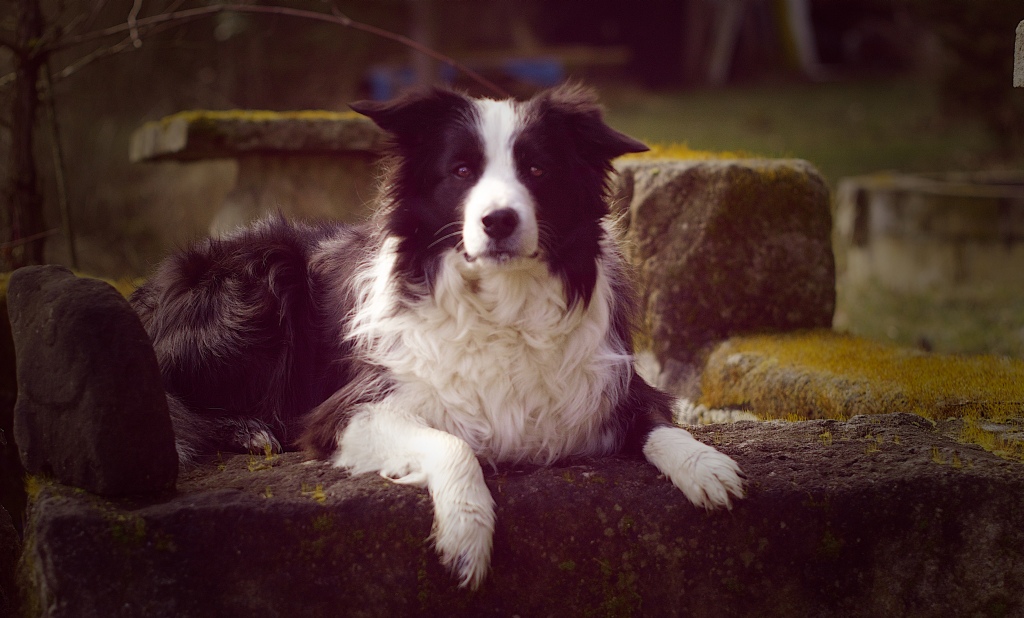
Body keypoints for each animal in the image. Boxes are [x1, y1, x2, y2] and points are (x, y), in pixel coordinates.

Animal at [134, 83, 745, 589]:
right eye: (461, 171)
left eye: (537, 170)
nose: (498, 221)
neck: (500, 305)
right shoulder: (349, 411)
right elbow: (453, 445)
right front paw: (466, 535)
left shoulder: (611, 384)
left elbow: (661, 423)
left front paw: (705, 466)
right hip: (261, 276)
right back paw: (247, 430)